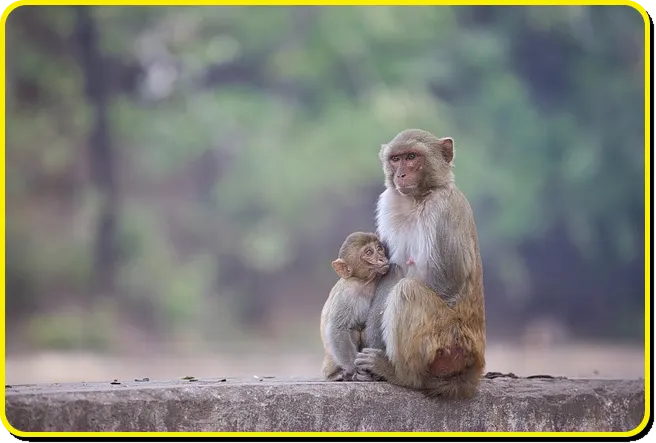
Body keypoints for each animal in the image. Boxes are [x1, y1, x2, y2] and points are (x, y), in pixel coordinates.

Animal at [320, 232, 386, 382]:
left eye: (379, 248)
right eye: (369, 252)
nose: (381, 258)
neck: (365, 283)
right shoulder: (347, 293)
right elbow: (337, 328)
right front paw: (355, 369)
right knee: (353, 330)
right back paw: (336, 375)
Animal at [354, 127, 486, 398]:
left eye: (412, 157)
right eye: (396, 159)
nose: (401, 174)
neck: (418, 199)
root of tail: (473, 367)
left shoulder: (445, 208)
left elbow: (448, 280)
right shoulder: (389, 202)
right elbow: (392, 271)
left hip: (451, 344)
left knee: (408, 292)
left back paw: (402, 375)